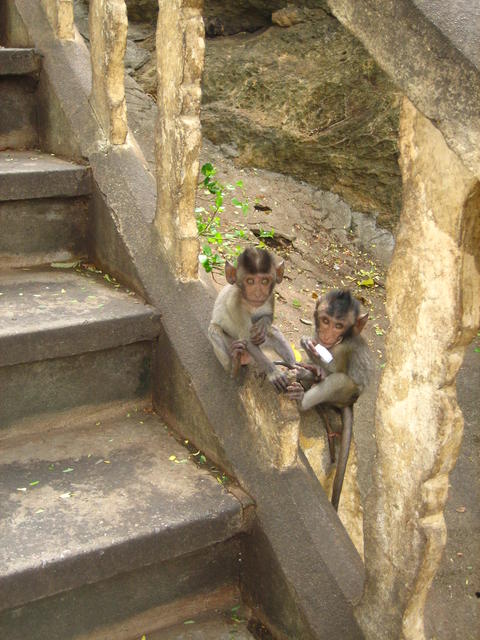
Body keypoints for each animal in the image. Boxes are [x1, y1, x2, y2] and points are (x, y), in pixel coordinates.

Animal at [208, 247, 296, 392]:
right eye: (250, 281)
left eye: (265, 281)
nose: (258, 293)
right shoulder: (236, 302)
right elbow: (247, 339)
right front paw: (273, 372)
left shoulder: (270, 297)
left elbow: (268, 318)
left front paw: (263, 325)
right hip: (231, 343)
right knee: (214, 330)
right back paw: (234, 363)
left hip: (264, 344)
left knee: (274, 333)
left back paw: (295, 368)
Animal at [286, 289, 373, 510]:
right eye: (325, 321)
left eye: (339, 326)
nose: (326, 335)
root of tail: (350, 403)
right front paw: (307, 358)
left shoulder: (349, 347)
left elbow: (339, 373)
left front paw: (315, 358)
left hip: (345, 395)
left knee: (339, 380)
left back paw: (303, 398)